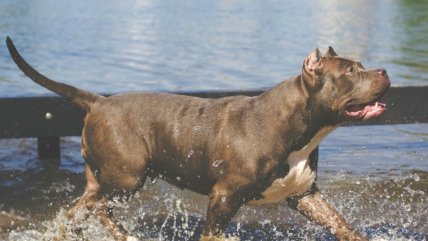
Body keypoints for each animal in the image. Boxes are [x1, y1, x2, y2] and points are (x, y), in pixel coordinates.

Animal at [5, 36, 392, 241]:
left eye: (361, 66)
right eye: (350, 71)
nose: (385, 70)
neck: (298, 125)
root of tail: (99, 101)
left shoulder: (304, 196)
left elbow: (342, 225)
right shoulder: (224, 196)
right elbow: (212, 234)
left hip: (102, 180)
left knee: (79, 209)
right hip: (128, 177)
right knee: (101, 207)